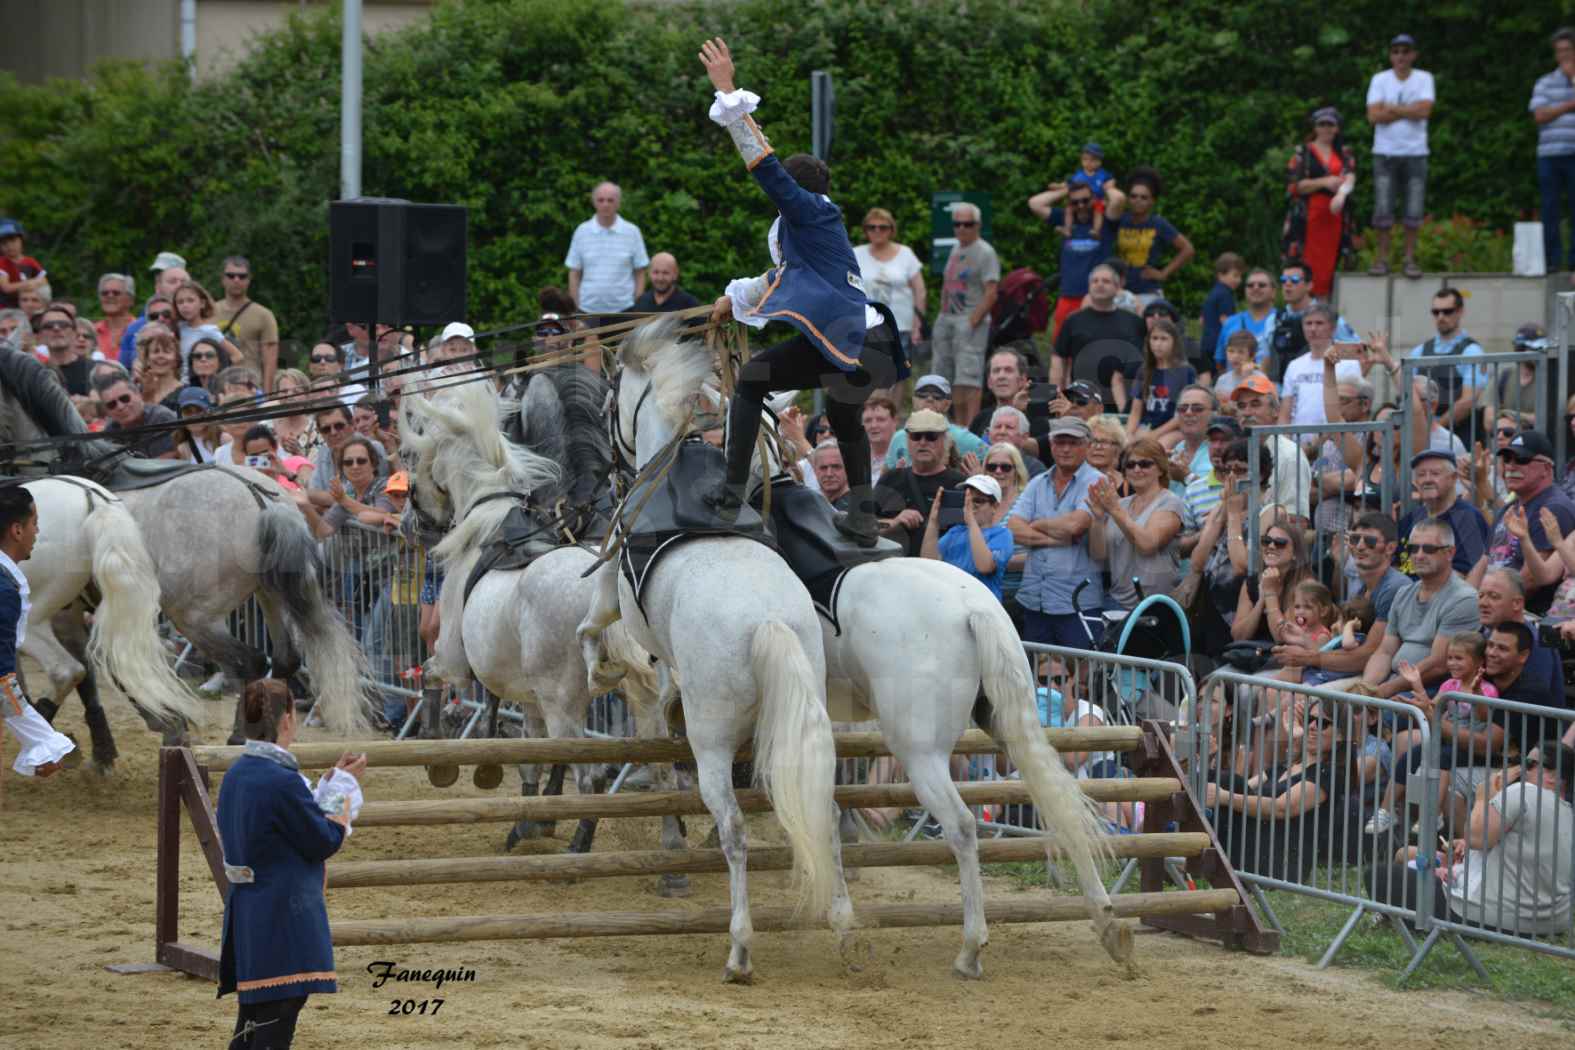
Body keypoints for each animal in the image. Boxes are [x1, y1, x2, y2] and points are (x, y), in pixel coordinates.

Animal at [400, 376, 664, 856]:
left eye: (413, 455)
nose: (410, 523)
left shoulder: (454, 659)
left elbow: (429, 675)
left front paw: (436, 755)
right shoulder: (530, 697)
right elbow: (535, 760)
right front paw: (532, 821)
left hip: (567, 704)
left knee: (593, 776)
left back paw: (580, 844)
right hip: (643, 697)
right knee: (668, 769)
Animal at [576, 317, 850, 988]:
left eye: (609, 400)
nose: (608, 472)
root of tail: (767, 622)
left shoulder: (611, 587)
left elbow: (591, 625)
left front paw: (600, 671)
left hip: (713, 743)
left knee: (732, 829)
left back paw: (740, 951)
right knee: (825, 817)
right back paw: (842, 932)